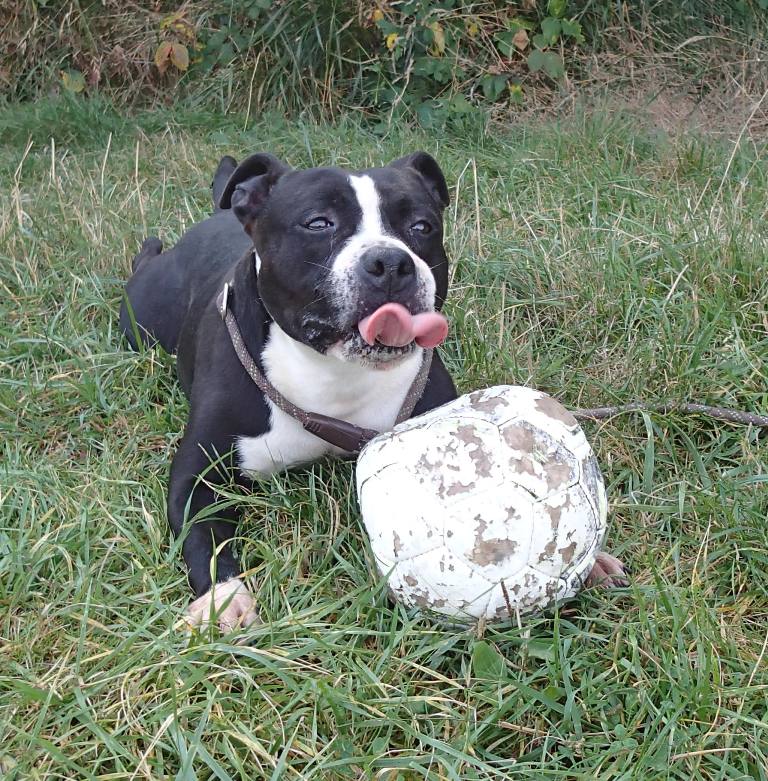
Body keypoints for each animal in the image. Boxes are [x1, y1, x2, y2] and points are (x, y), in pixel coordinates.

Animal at [120, 151, 625, 630]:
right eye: (318, 222)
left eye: (421, 227)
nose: (390, 262)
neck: (334, 373)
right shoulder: (198, 473)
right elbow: (202, 535)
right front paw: (223, 598)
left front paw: (591, 561)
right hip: (140, 318)